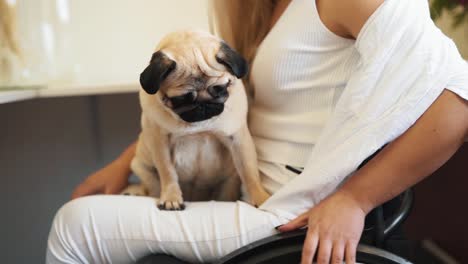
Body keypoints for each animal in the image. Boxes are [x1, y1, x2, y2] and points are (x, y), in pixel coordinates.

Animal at [122, 29, 270, 209]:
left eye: (220, 89)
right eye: (181, 99)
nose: (203, 105)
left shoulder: (238, 139)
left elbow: (250, 172)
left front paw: (260, 197)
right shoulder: (160, 143)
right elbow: (168, 173)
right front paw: (171, 197)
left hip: (229, 183)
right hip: (143, 168)